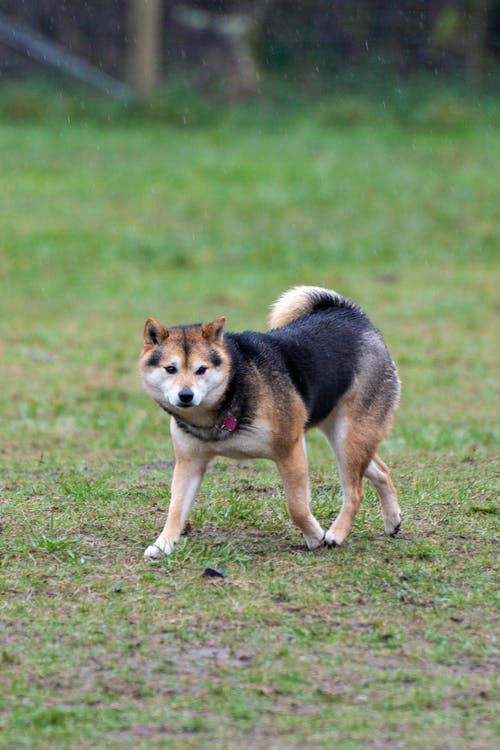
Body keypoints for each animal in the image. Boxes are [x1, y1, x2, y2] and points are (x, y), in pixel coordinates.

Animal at [139, 286, 400, 560]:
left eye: (202, 369)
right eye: (170, 369)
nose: (186, 395)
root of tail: (351, 313)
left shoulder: (291, 449)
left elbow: (297, 507)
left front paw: (315, 536)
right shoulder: (189, 462)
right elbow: (176, 509)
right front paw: (162, 545)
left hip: (350, 437)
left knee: (355, 491)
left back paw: (337, 534)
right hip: (343, 434)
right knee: (381, 470)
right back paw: (392, 521)